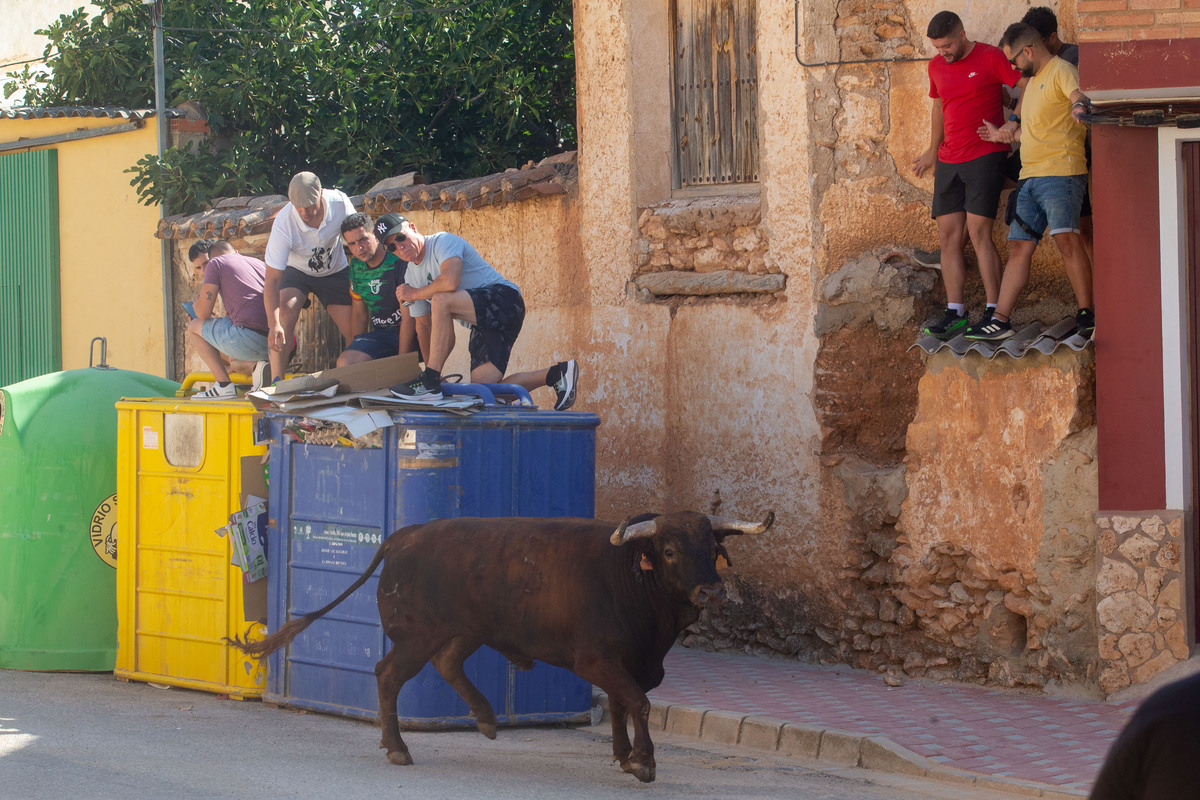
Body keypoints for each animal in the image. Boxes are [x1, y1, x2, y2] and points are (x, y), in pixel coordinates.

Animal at [232, 513, 772, 782]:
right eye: (671, 551)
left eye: (714, 549)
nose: (711, 592)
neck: (630, 578)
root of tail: (406, 535)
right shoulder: (597, 660)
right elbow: (637, 702)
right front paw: (643, 762)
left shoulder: (627, 662)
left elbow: (623, 704)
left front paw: (623, 755)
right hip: (418, 634)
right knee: (388, 674)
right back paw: (399, 747)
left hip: (465, 630)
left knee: (448, 664)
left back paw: (487, 718)